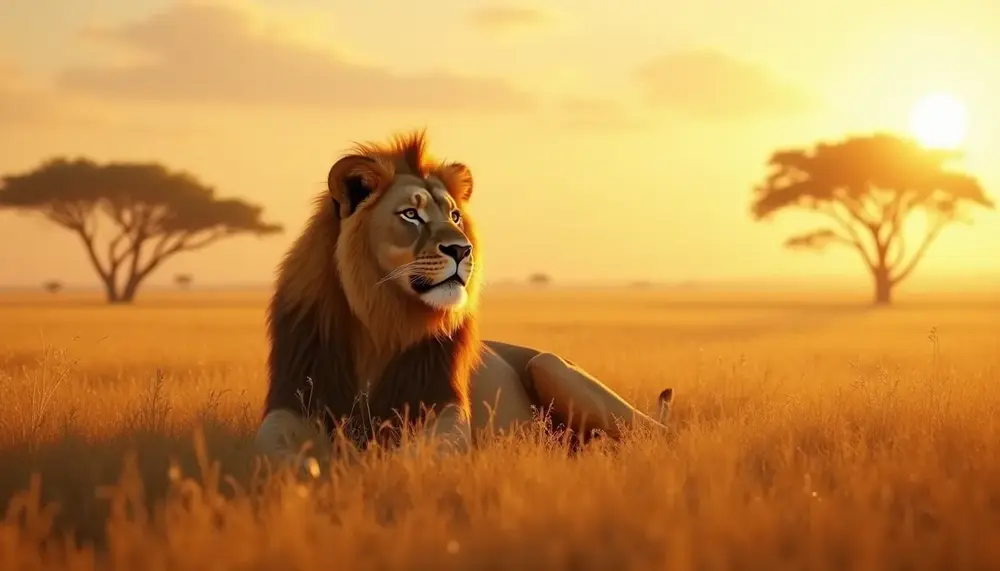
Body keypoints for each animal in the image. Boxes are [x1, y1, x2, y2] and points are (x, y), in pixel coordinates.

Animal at [254, 130, 673, 466]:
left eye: (455, 216)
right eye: (411, 214)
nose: (462, 249)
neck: (382, 321)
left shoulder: (442, 402)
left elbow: (426, 453)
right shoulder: (295, 397)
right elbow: (271, 448)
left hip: (549, 365)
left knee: (655, 433)